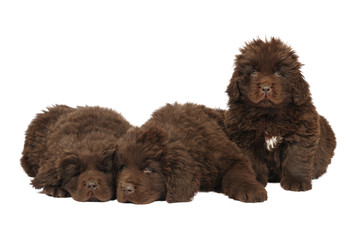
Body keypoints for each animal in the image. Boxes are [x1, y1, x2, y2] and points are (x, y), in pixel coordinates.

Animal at [115, 103, 268, 204]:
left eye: (148, 169)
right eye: (122, 167)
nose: (126, 189)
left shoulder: (232, 157)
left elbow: (238, 174)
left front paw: (252, 190)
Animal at [225, 37, 334, 191]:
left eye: (279, 73)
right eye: (253, 71)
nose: (265, 88)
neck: (268, 114)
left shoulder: (301, 133)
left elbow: (296, 158)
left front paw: (296, 182)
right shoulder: (245, 137)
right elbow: (252, 161)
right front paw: (255, 180)